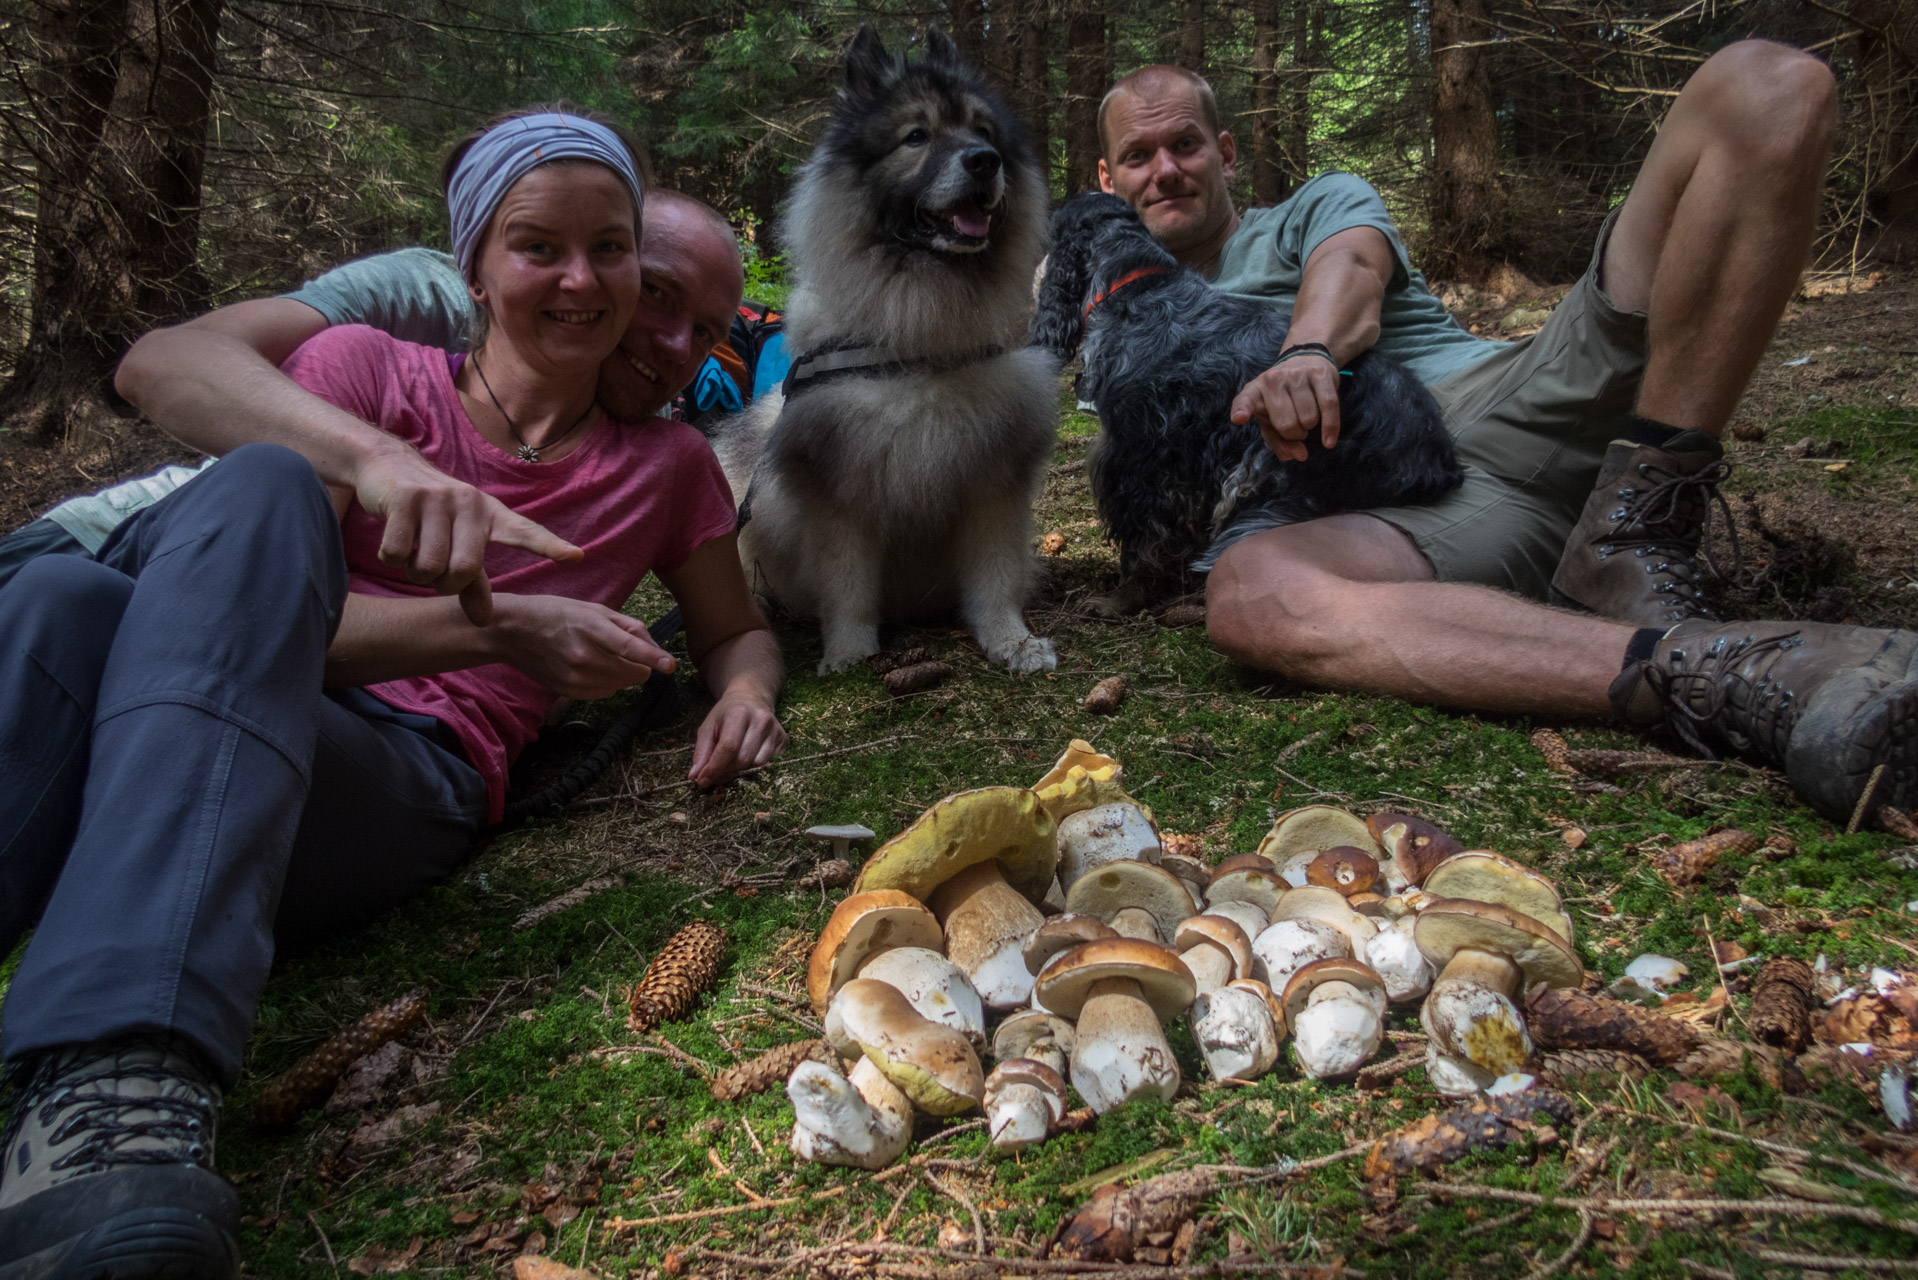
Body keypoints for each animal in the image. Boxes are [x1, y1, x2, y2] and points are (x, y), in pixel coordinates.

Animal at [717, 25, 1058, 675]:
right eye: (916, 136)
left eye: (983, 132)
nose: (985, 161)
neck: (920, 343)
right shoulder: (840, 493)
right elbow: (847, 586)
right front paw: (848, 653)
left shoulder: (993, 480)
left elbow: (995, 579)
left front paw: (1012, 641)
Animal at [1035, 189, 1465, 610]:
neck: (1136, 282)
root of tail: (1441, 461)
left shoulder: (1138, 456)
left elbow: (1141, 539)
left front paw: (1120, 599)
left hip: (1261, 467)